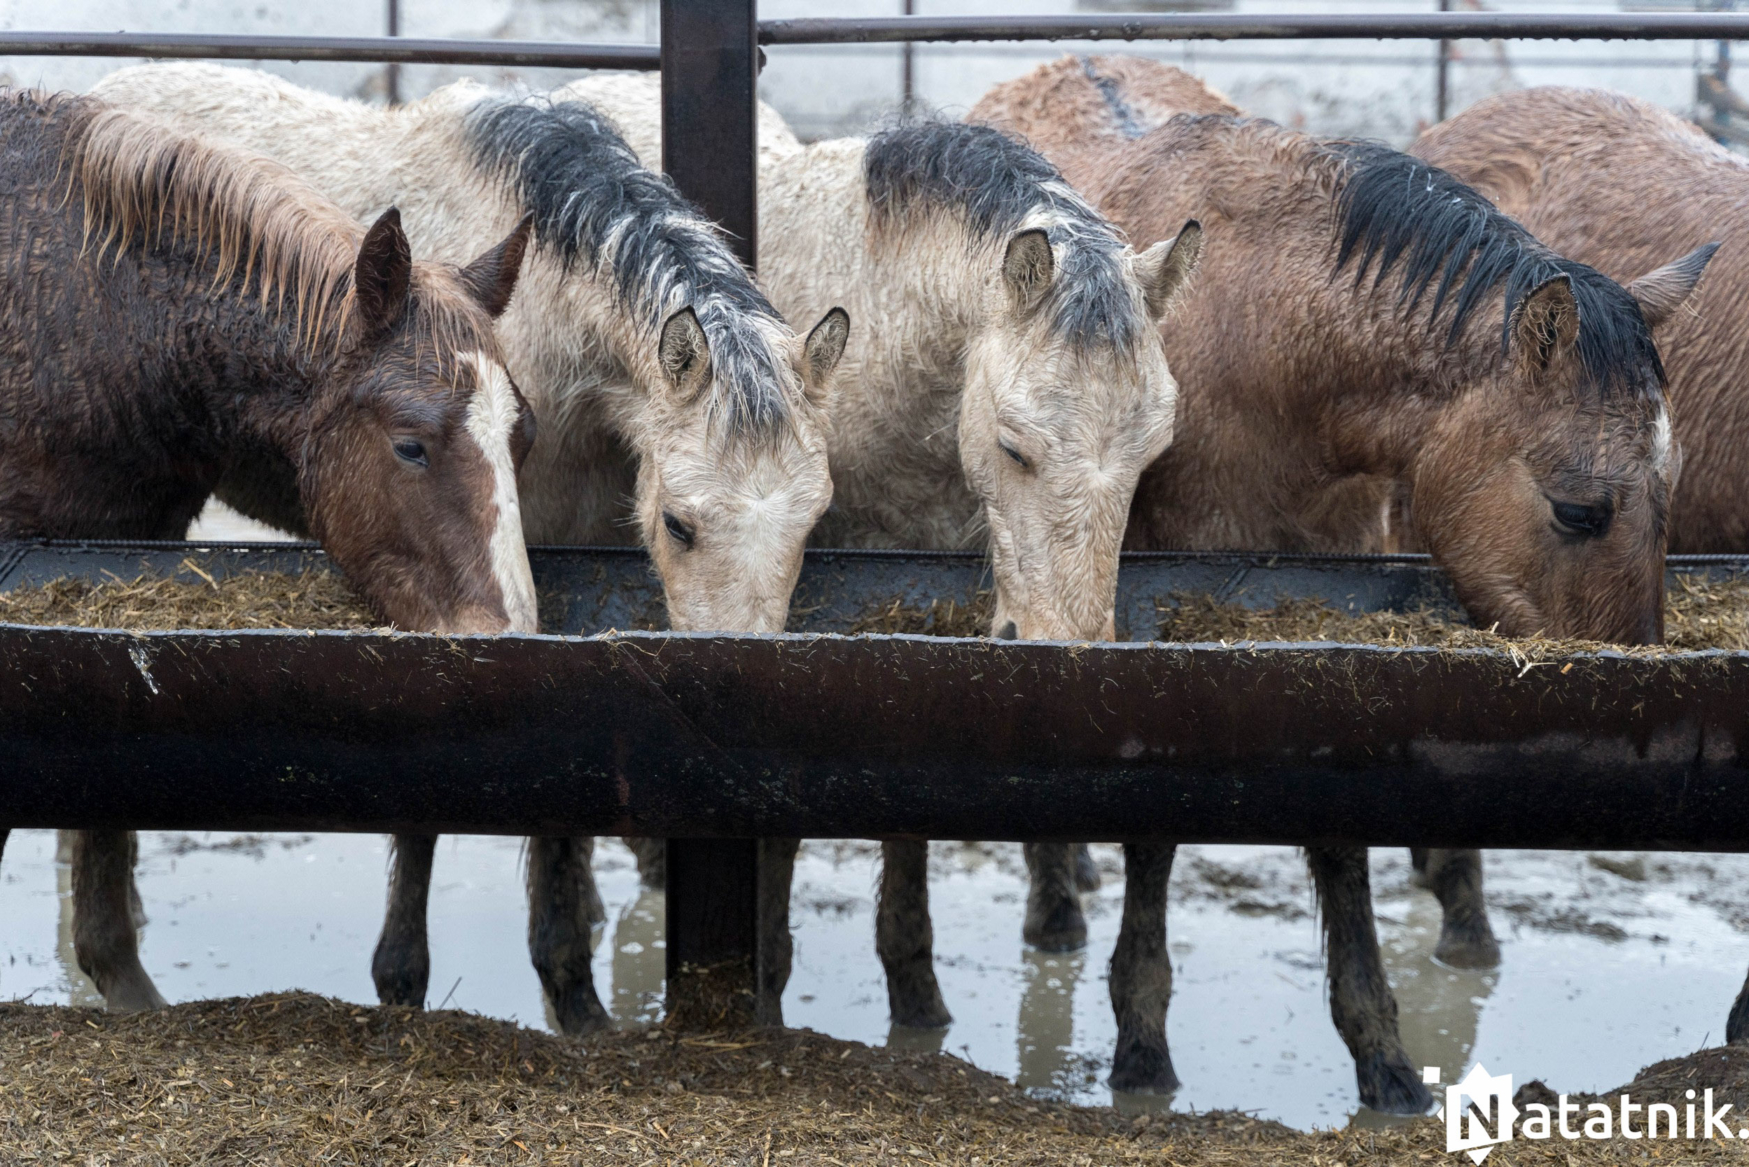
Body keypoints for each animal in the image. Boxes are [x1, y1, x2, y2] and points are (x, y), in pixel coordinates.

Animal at [979, 59, 1714, 1119]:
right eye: (1578, 511)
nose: (1638, 693)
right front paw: (1141, 1046)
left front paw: (1382, 1056)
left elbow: (1341, 838)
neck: (1265, 339)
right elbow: (1153, 836)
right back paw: (1054, 905)